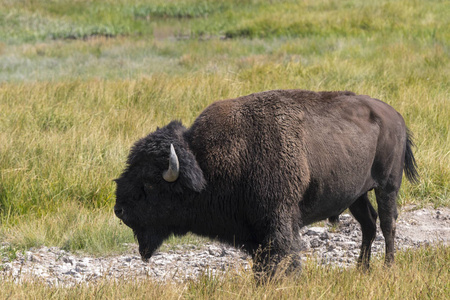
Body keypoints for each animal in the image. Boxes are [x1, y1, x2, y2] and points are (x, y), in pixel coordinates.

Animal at [113, 89, 418, 278]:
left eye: (150, 184)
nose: (119, 210)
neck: (207, 163)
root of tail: (395, 115)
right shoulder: (254, 230)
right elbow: (262, 262)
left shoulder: (278, 220)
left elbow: (284, 254)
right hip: (356, 194)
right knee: (368, 223)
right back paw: (361, 269)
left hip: (387, 185)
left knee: (387, 223)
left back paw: (388, 267)